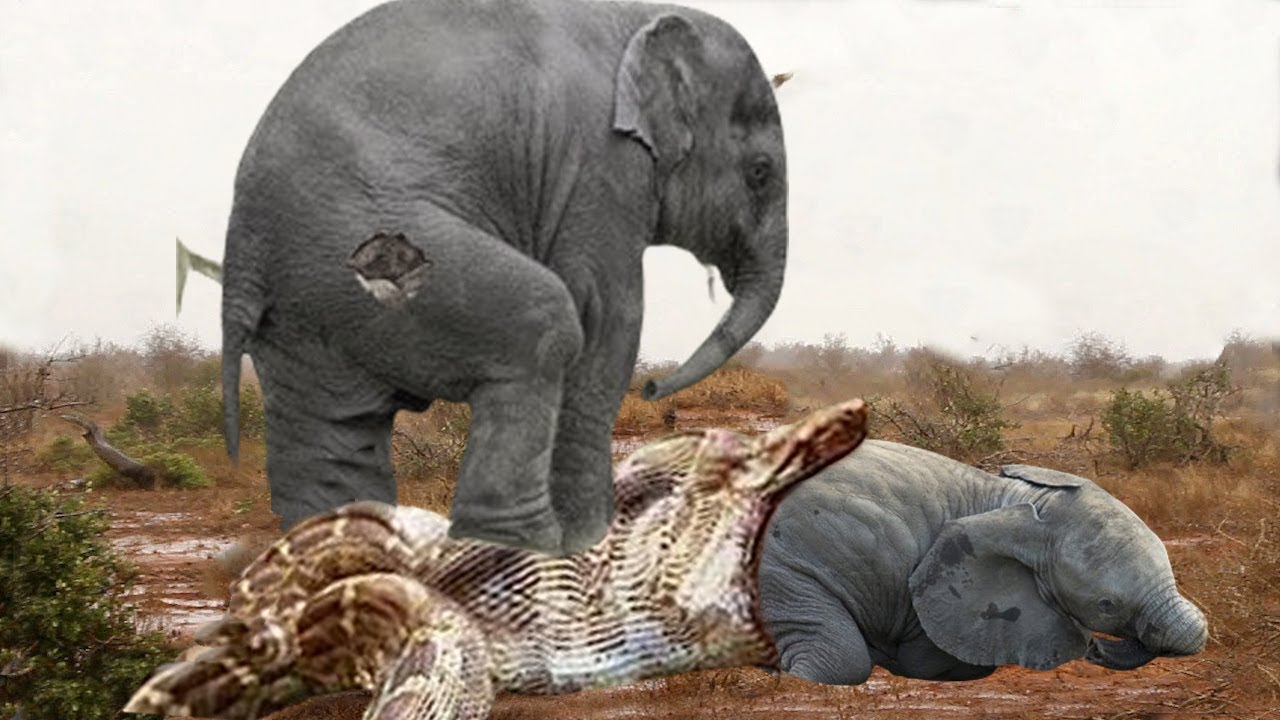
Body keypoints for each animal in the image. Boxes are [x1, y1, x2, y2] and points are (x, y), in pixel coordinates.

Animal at [216, 0, 791, 556]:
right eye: (760, 173)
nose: (653, 388)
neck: (642, 16)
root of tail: (243, 247)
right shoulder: (600, 165)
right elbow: (606, 317)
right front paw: (590, 543)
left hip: (307, 300)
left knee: (333, 438)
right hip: (379, 252)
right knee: (543, 330)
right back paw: (520, 552)